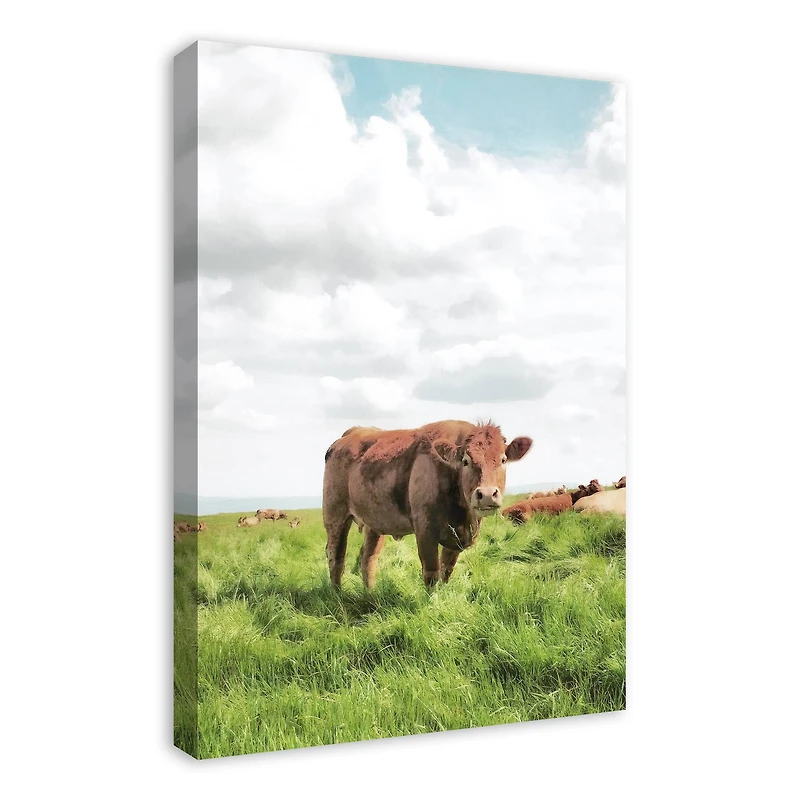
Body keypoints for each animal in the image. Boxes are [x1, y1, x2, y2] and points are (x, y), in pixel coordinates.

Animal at [323, 420, 533, 588]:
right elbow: (432, 573)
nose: (487, 494)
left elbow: (446, 571)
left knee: (368, 558)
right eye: (466, 461)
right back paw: (337, 596)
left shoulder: (457, 538)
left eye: (503, 460)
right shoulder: (425, 530)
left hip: (375, 523)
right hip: (335, 516)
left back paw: (370, 594)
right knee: (336, 558)